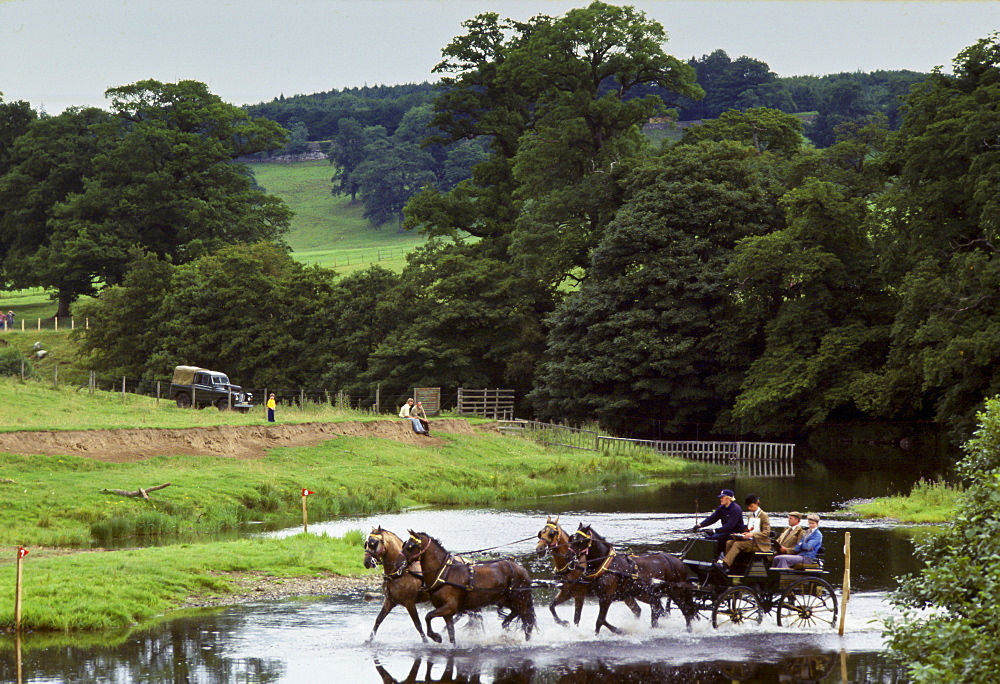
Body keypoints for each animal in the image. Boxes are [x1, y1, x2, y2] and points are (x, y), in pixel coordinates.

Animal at [400, 532, 540, 644]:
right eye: (405, 545)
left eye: (411, 546)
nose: (398, 563)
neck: (445, 573)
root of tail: (523, 570)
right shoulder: (447, 611)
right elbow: (451, 633)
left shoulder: (449, 607)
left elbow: (428, 616)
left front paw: (436, 637)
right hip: (509, 601)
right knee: (517, 615)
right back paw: (506, 625)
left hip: (520, 601)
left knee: (527, 623)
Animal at [568, 524, 700, 636]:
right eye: (573, 537)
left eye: (580, 540)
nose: (569, 555)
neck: (607, 564)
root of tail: (678, 562)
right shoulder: (604, 597)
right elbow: (602, 620)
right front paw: (619, 630)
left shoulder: (606, 598)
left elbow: (600, 620)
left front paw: (604, 633)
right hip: (654, 594)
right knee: (657, 612)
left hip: (675, 592)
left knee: (686, 611)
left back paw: (689, 630)